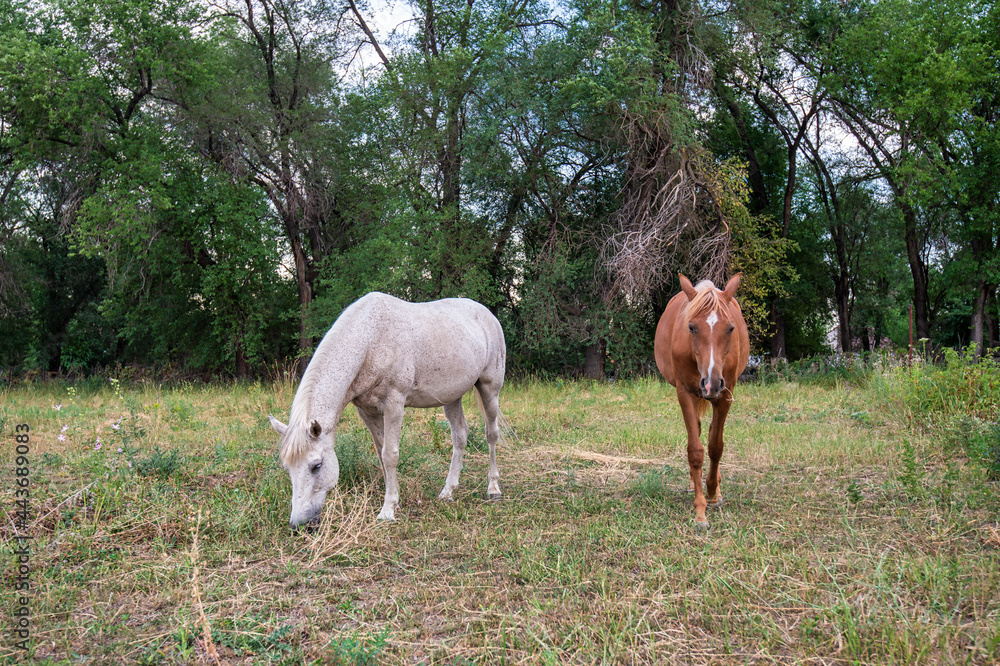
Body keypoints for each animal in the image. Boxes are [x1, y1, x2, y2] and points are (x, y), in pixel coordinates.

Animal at [268, 292, 507, 527]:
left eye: (316, 466)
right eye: (288, 469)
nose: (299, 524)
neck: (371, 342)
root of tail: (488, 315)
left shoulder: (394, 405)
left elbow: (390, 454)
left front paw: (387, 511)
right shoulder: (368, 411)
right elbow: (381, 453)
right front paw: (395, 502)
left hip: (490, 389)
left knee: (491, 434)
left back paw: (493, 488)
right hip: (452, 397)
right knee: (460, 436)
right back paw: (448, 492)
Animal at [653, 274, 749, 530]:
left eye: (731, 328)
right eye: (691, 327)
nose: (711, 383)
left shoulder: (725, 395)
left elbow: (716, 446)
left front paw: (713, 492)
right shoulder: (685, 394)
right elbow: (695, 450)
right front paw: (700, 512)